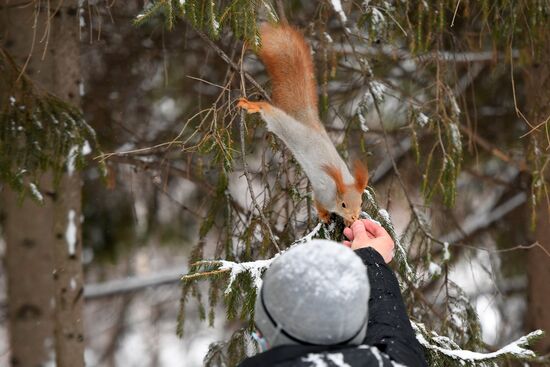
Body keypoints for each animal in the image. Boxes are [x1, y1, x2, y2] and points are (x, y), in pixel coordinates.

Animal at [238, 23, 370, 224]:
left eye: (361, 203)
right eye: (343, 204)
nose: (354, 216)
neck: (340, 186)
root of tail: (309, 124)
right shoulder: (323, 195)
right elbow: (319, 204)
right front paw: (324, 216)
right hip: (285, 127)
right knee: (269, 112)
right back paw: (252, 105)